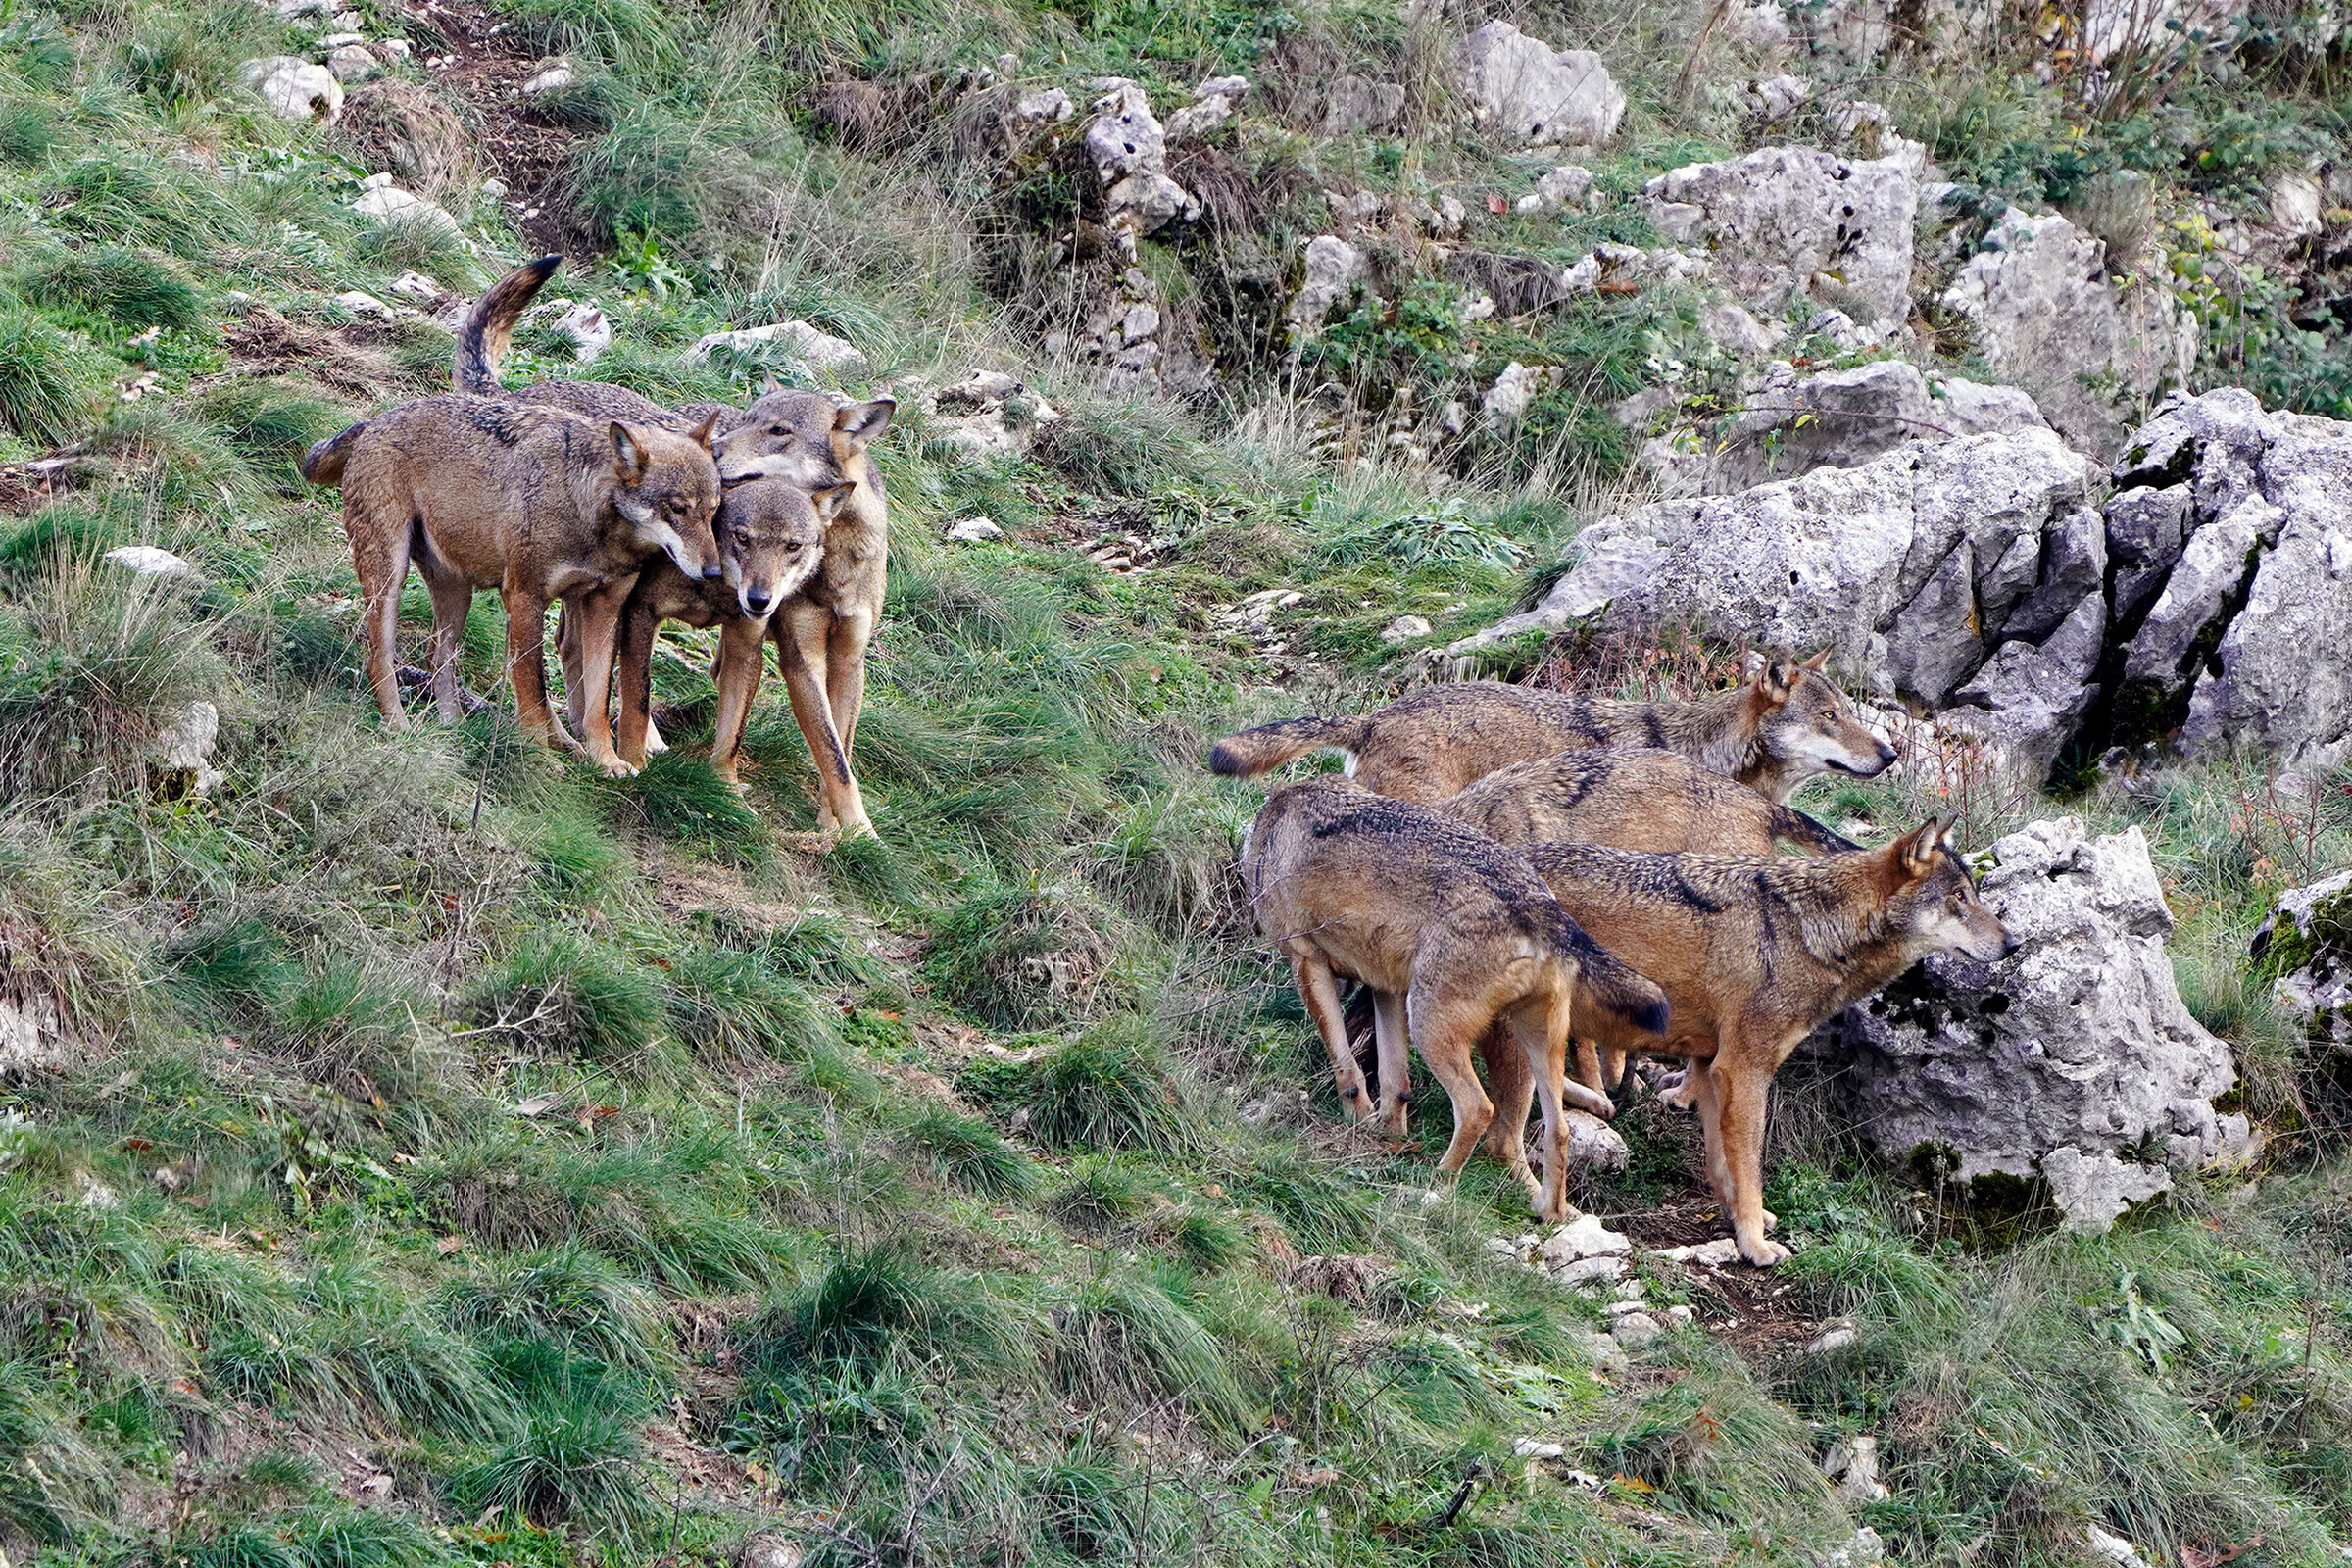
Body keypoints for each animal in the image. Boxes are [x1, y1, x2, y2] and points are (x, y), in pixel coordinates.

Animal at [325, 394, 722, 773]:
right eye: (677, 508)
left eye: (713, 510)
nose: (715, 572)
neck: (584, 510)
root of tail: (375, 421)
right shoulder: (524, 597)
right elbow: (533, 691)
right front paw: (537, 760)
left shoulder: (606, 608)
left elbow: (597, 702)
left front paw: (606, 761)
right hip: (390, 579)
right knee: (379, 658)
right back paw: (400, 726)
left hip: (458, 595)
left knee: (437, 653)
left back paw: (456, 727)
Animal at [1239, 774, 1668, 1222]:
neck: (1272, 823)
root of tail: (1538, 903)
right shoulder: (1386, 988)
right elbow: (1395, 1081)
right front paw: (1387, 1133)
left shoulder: (1306, 962)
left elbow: (1347, 1068)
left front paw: (1357, 1120)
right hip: (1532, 1044)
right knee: (1557, 1129)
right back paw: (1548, 1211)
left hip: (1433, 1029)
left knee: (1480, 1109)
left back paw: (1434, 1187)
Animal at [1479, 824, 2013, 1264]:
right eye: (1959, 897)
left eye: (1975, 894)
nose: (2014, 944)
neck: (1808, 933)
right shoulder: (1745, 1070)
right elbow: (1750, 1168)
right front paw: (1755, 1244)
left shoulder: (1711, 1066)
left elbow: (1722, 1164)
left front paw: (1739, 1220)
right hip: (1529, 1047)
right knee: (1502, 1139)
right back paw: (1546, 1205)